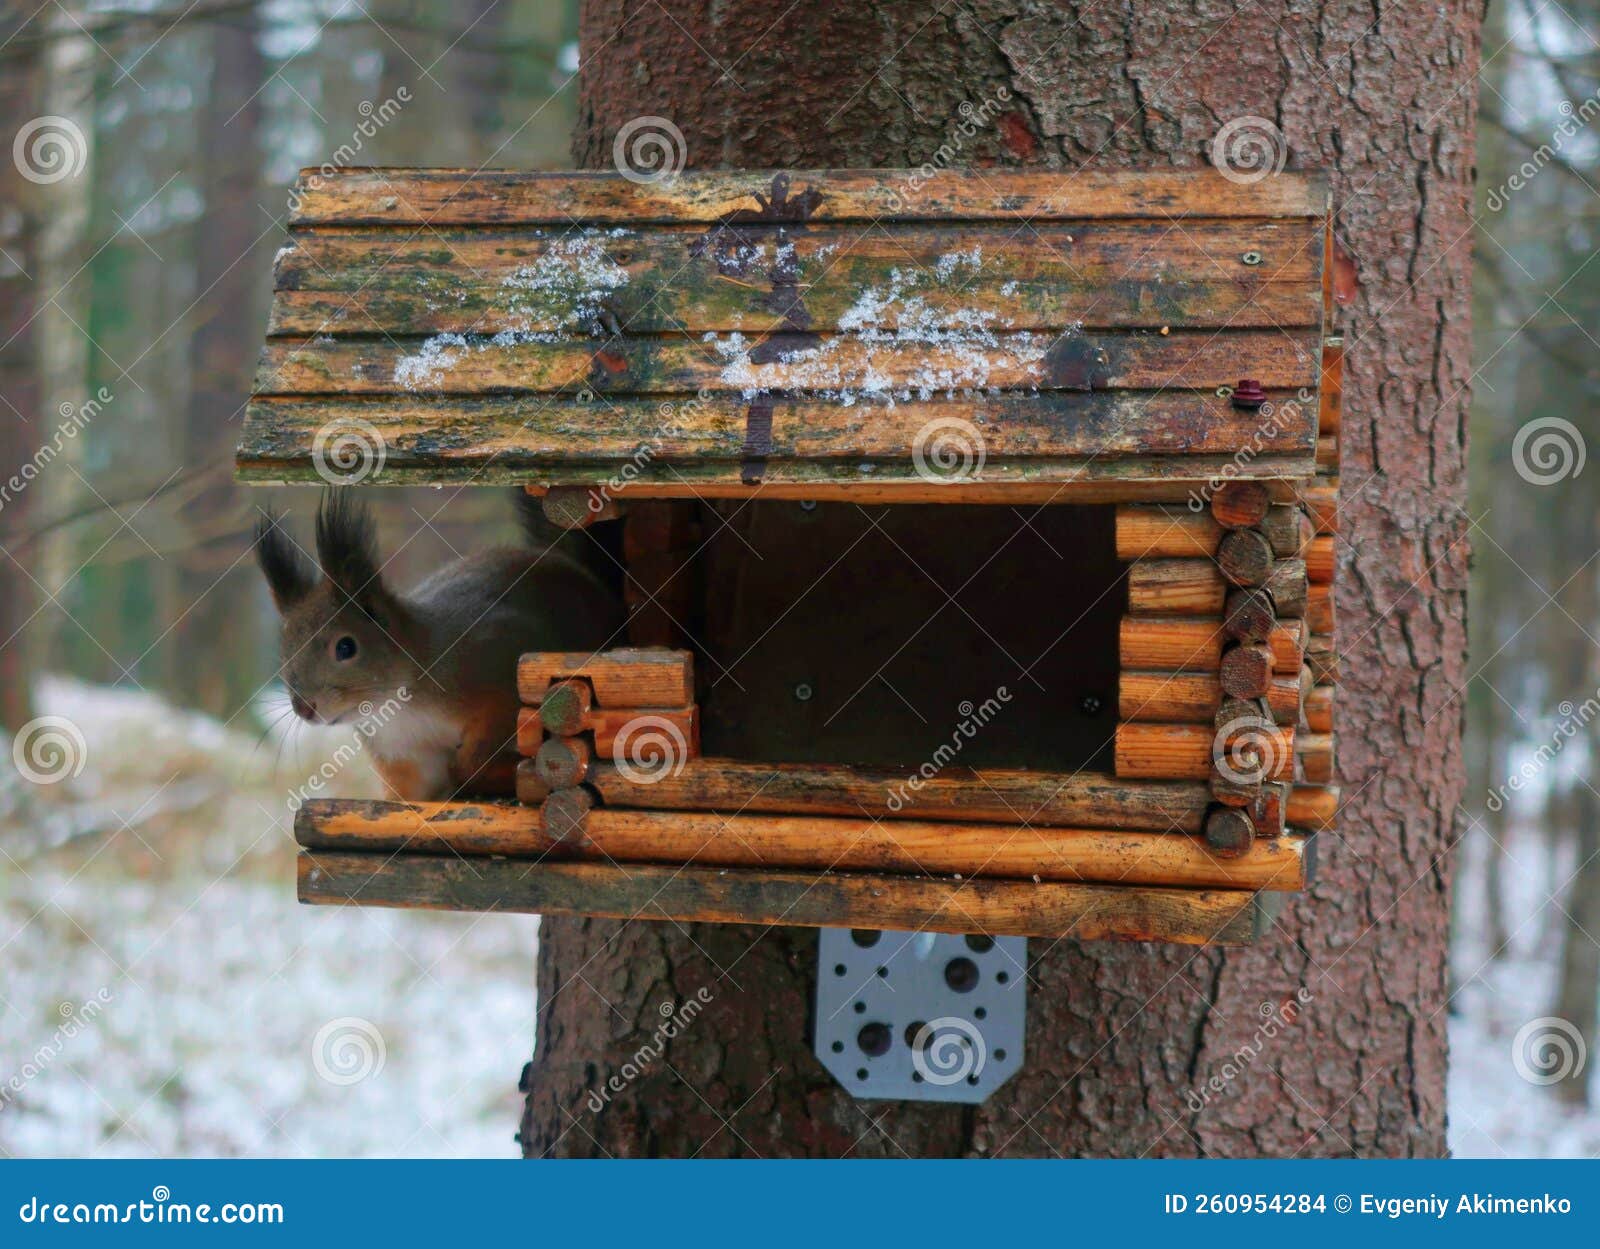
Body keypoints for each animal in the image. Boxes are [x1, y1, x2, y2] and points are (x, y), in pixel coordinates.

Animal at [255, 489, 624, 801]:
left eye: (345, 648)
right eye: (284, 649)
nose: (304, 708)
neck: (398, 709)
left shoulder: (496, 669)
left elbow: (484, 746)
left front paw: (475, 769)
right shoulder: (402, 755)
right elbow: (410, 796)